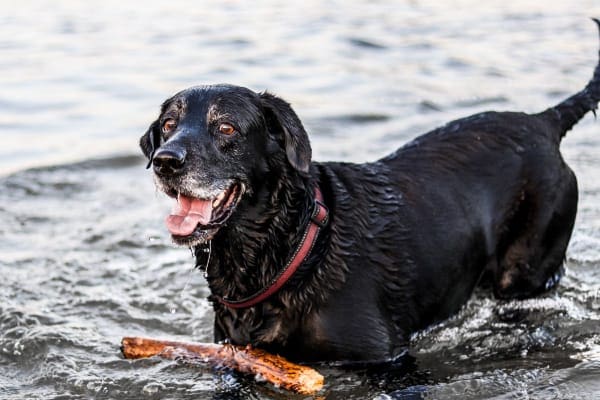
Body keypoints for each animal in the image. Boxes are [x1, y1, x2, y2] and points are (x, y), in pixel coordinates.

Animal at [139, 23, 600, 364]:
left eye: (226, 127)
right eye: (168, 125)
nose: (165, 161)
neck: (292, 247)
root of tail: (544, 122)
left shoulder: (387, 358)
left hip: (528, 268)